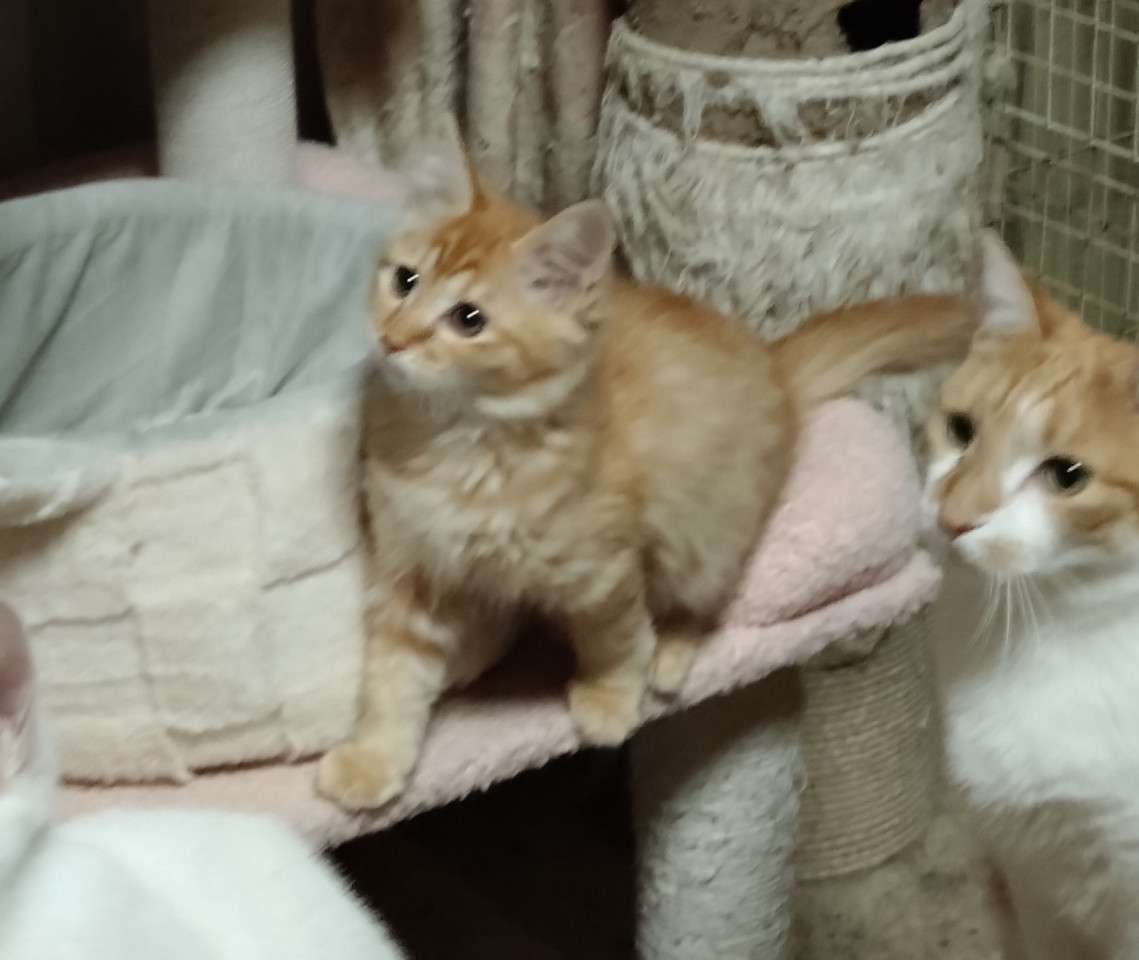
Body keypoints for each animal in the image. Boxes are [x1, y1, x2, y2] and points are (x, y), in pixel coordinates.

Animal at [316, 117, 977, 812]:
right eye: (405, 281)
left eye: (468, 319)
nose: (392, 339)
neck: (455, 440)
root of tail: (772, 366)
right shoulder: (410, 568)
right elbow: (392, 678)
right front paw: (373, 760)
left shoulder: (602, 566)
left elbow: (614, 638)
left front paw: (610, 701)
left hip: (704, 535)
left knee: (704, 607)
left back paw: (668, 657)